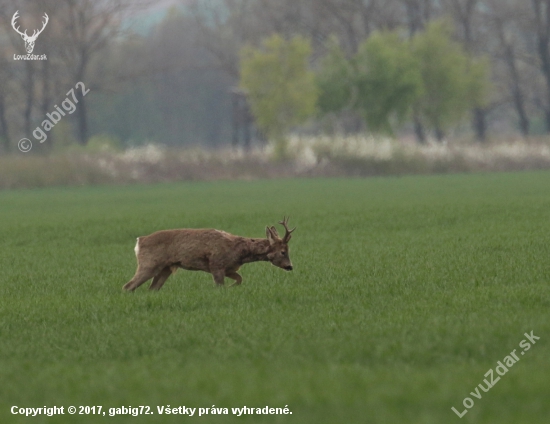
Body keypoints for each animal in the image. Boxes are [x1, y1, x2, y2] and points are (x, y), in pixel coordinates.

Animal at [124, 217, 298, 290]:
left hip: (165, 268)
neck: (238, 251)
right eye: (283, 252)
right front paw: (224, 289)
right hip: (148, 264)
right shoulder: (216, 264)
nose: (290, 266)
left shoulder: (229, 268)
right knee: (128, 286)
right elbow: (219, 285)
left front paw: (231, 287)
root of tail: (139, 242)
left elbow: (240, 279)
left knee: (152, 289)